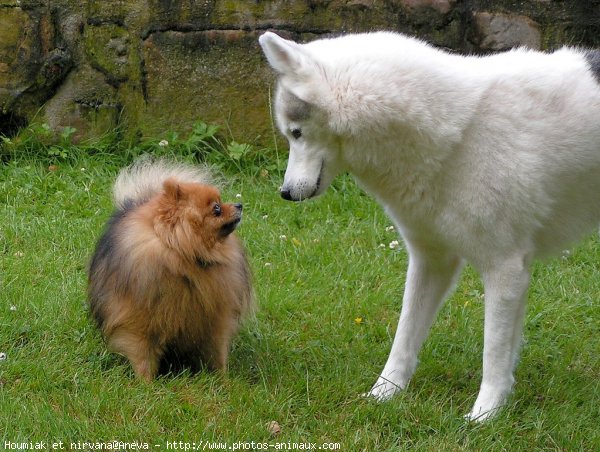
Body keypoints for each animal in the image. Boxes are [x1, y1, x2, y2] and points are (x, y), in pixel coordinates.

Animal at [88, 157, 253, 380]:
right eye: (217, 208)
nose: (239, 204)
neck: (182, 256)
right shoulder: (137, 321)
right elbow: (142, 354)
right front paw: (146, 382)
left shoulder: (215, 321)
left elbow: (217, 353)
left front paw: (223, 379)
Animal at [260, 30, 600, 420]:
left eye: (296, 133)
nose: (285, 193)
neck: (455, 133)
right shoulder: (431, 263)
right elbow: (404, 337)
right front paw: (383, 395)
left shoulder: (505, 269)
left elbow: (494, 353)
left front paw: (484, 416)